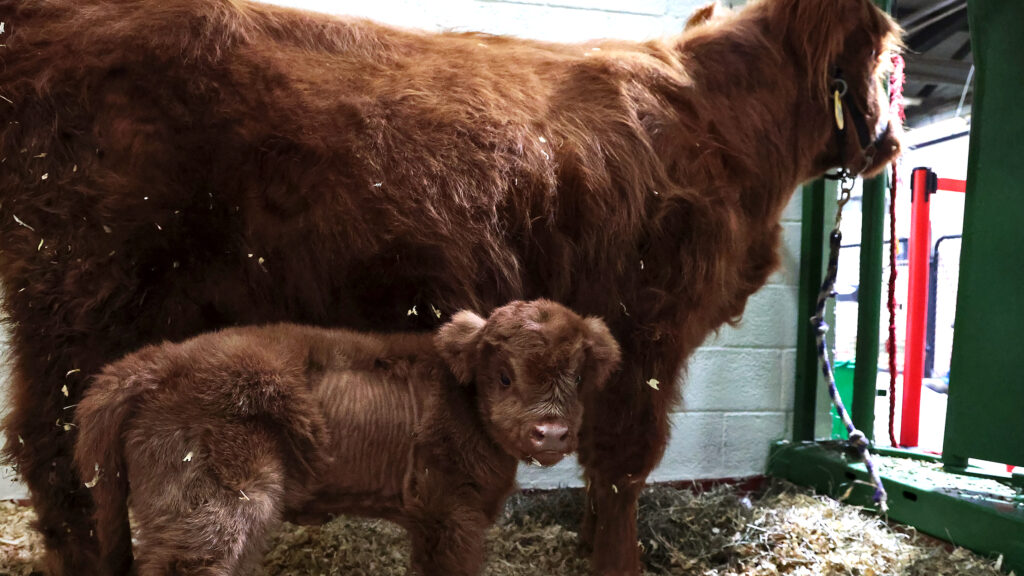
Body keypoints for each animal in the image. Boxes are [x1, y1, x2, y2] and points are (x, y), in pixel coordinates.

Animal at [75, 301, 618, 573]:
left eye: (577, 375)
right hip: (218, 509)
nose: (551, 432)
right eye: (504, 376)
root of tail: (156, 363)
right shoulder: (451, 514)